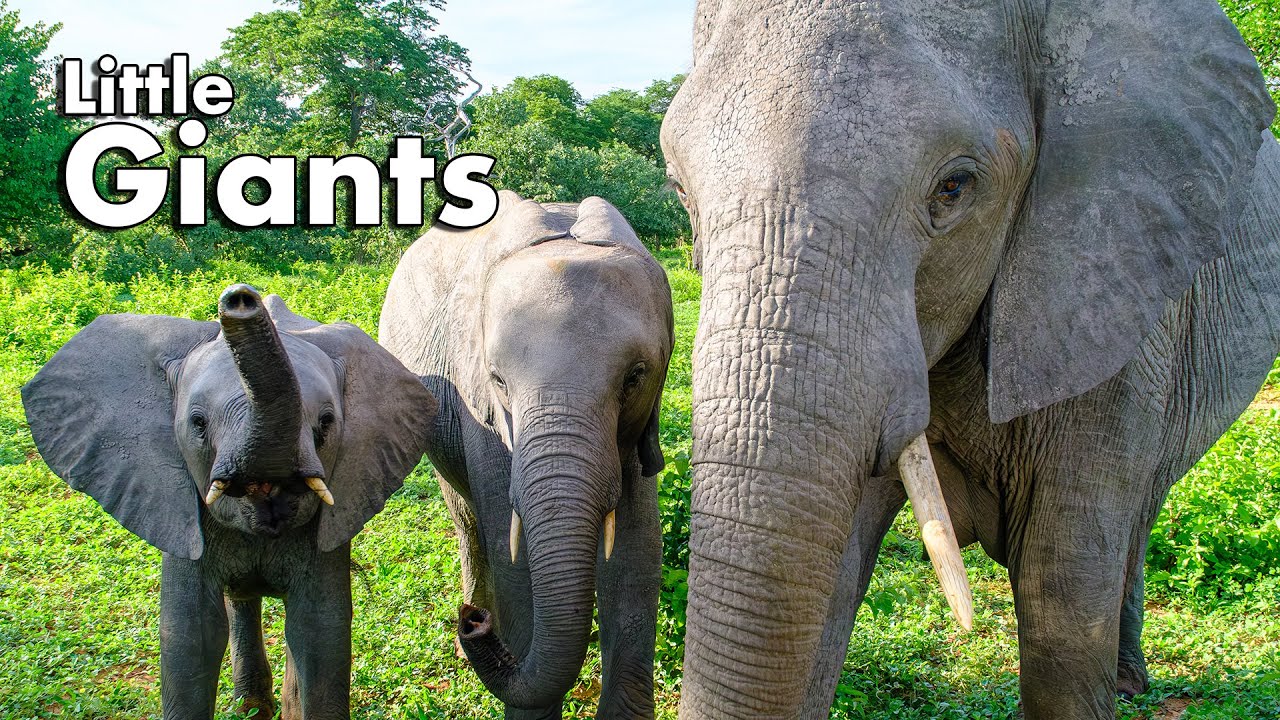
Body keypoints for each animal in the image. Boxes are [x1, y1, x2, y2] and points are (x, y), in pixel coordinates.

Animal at [378, 192, 674, 719]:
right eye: (498, 380)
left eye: (636, 376)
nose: (471, 623)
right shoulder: (478, 406)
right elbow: (509, 551)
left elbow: (638, 550)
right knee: (468, 519)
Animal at [658, 0, 1280, 717]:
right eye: (679, 190)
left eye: (954, 187)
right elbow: (830, 583)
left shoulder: (1117, 301)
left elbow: (1065, 617)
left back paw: (1128, 682)